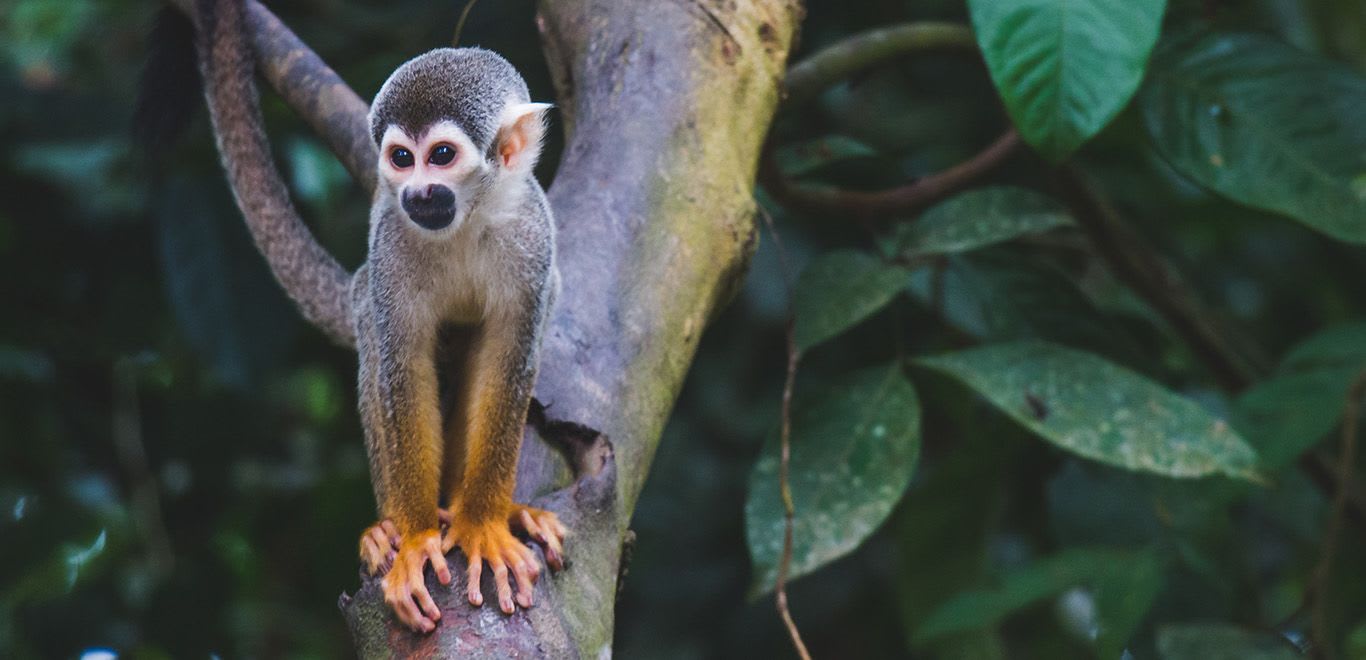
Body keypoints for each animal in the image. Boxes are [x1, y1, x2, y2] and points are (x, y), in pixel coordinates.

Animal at [196, 0, 565, 634]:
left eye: (440, 156)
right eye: (402, 159)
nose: (417, 193)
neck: (467, 219)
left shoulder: (533, 237)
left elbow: (508, 359)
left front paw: (484, 523)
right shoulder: (391, 240)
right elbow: (402, 367)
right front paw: (416, 539)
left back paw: (497, 510)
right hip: (369, 284)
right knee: (375, 336)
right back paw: (387, 531)